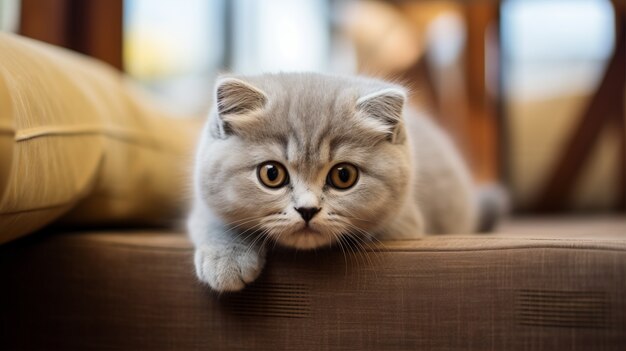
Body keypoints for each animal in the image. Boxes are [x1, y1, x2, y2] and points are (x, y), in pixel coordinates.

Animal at [185, 73, 498, 292]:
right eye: (271, 174)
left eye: (343, 176)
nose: (307, 210)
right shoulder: (203, 204)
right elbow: (210, 220)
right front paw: (226, 258)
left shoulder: (406, 222)